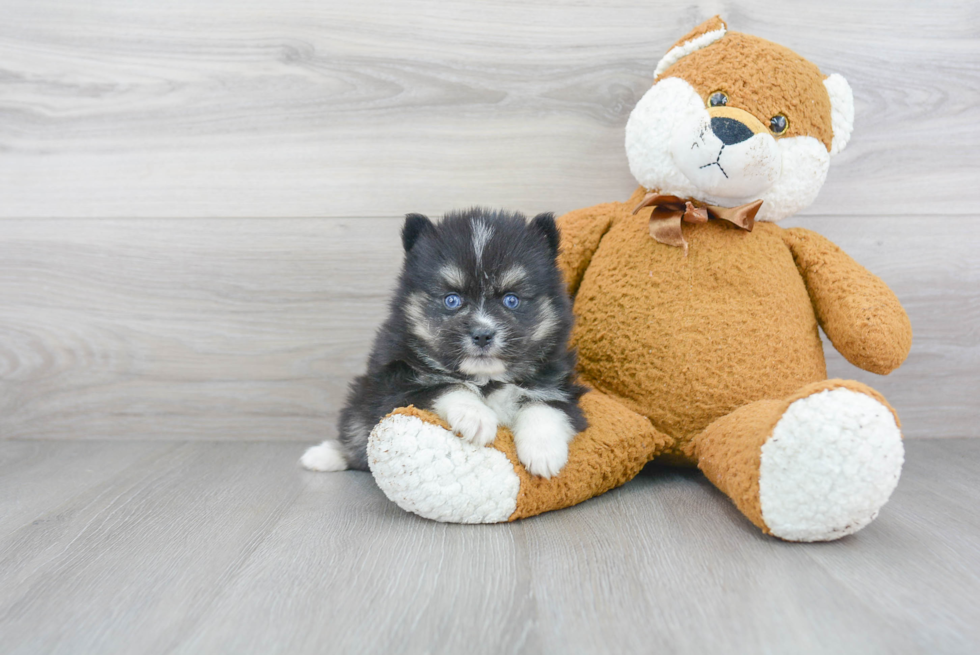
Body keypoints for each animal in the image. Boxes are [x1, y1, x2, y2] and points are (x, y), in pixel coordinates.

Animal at [302, 208, 584, 480]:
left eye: (511, 300)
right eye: (452, 300)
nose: (482, 335)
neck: (486, 379)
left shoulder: (560, 385)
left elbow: (546, 405)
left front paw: (544, 450)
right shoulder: (393, 385)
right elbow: (444, 386)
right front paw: (475, 416)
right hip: (364, 394)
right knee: (355, 434)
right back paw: (324, 455)